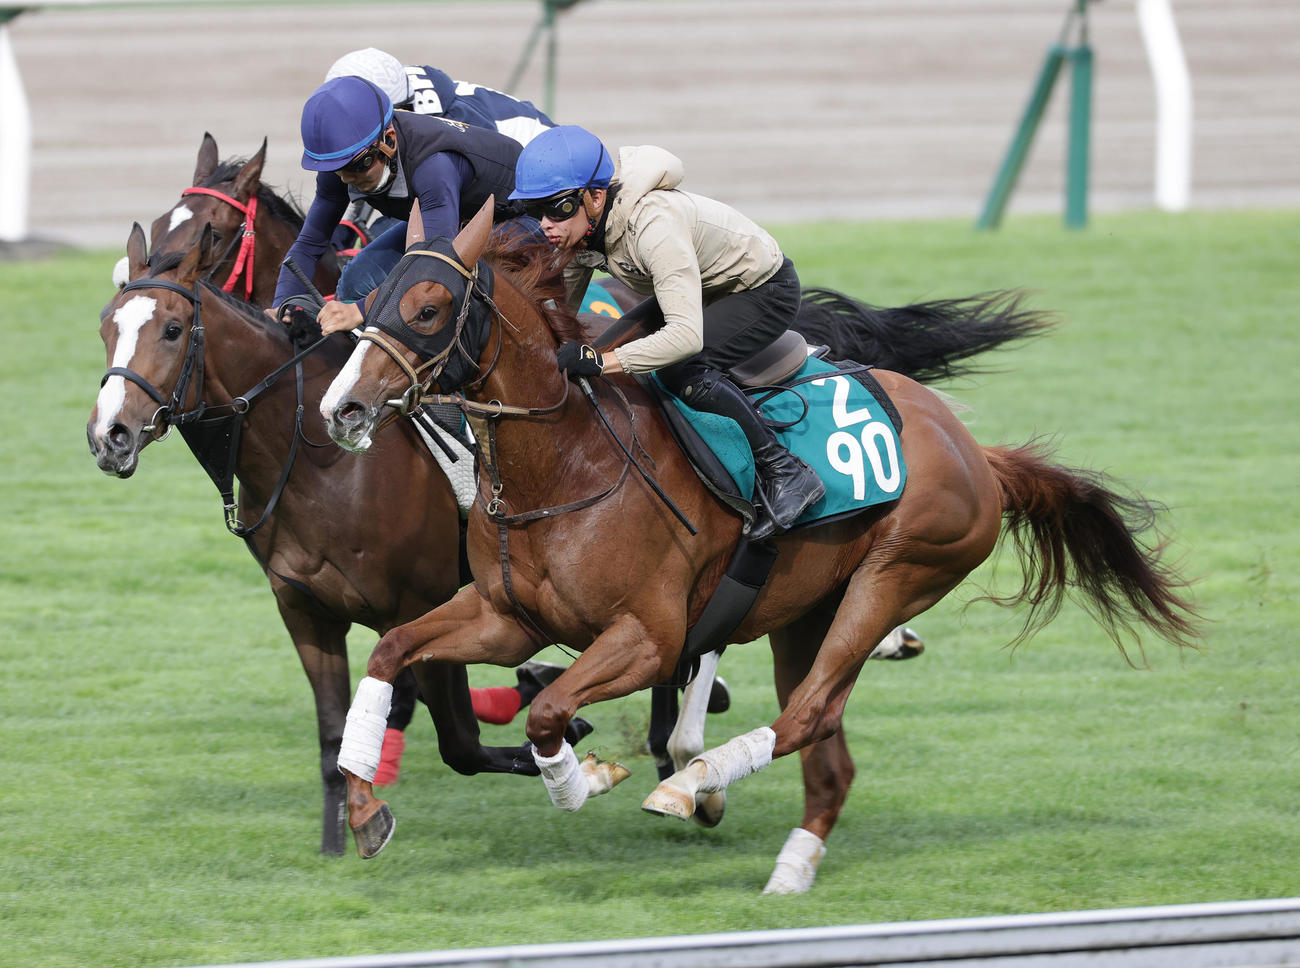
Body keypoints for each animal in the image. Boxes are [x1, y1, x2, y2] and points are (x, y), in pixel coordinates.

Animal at [317, 200, 1199, 890]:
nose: (344, 408)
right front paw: (364, 806)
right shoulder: (507, 617)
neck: (568, 462)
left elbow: (551, 712)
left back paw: (693, 787)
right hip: (805, 612)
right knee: (829, 755)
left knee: (808, 714)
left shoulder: (649, 636)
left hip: (896, 575)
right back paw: (789, 866)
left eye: (428, 308)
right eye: (372, 296)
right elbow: (392, 651)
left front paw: (585, 780)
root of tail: (976, 451)